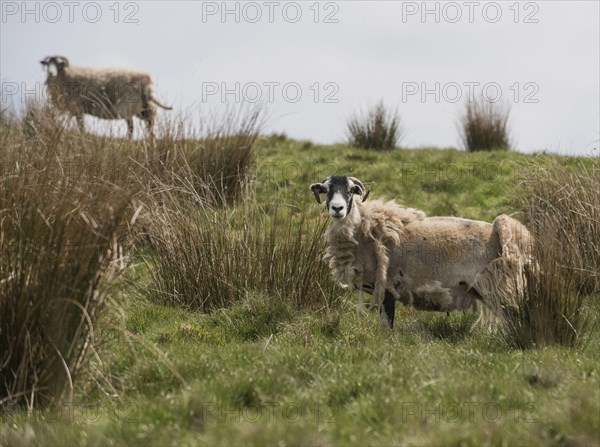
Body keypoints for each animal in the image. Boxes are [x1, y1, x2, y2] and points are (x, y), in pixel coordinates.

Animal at [40, 55, 172, 138]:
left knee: (132, 127)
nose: (51, 73)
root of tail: (146, 85)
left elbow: (81, 126)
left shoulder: (78, 108)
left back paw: (129, 140)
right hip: (143, 108)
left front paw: (82, 137)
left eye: (59, 64)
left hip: (128, 106)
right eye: (48, 64)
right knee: (149, 123)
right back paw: (150, 139)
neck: (66, 74)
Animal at [312, 176, 532, 328]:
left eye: (351, 190)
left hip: (500, 286)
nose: (337, 208)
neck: (365, 230)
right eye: (326, 190)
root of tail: (499, 229)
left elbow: (386, 325)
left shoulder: (387, 287)